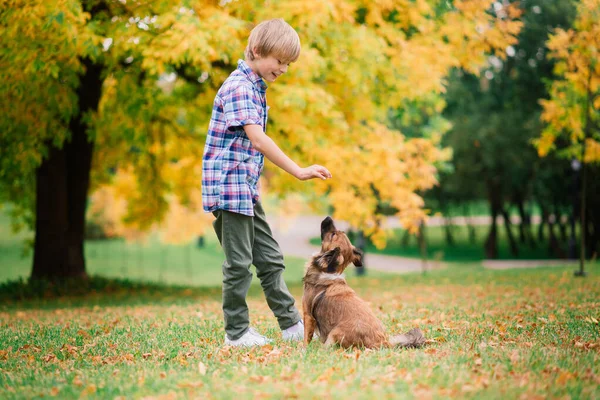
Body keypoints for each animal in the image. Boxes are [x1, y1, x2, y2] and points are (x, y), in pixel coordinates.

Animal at [302, 217, 424, 348]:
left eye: (333, 234)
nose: (328, 218)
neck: (327, 271)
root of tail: (383, 343)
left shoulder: (308, 315)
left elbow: (306, 338)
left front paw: (304, 349)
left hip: (334, 333)